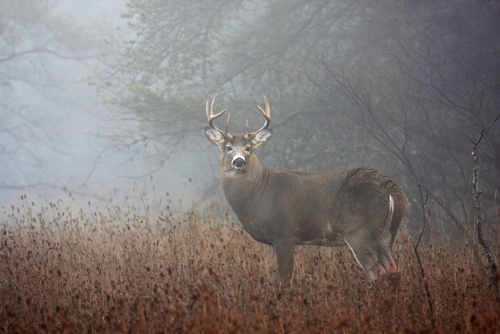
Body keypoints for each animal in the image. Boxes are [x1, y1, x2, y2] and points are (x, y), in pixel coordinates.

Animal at [203, 96, 406, 282]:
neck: (258, 194)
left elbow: (285, 277)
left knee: (376, 273)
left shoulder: (284, 232)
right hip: (385, 236)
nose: (239, 161)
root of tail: (394, 190)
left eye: (248, 148)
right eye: (228, 147)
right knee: (393, 270)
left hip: (359, 231)